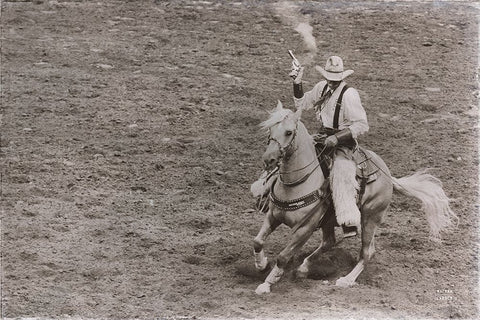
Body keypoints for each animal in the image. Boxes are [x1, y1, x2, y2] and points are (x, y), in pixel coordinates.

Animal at [253, 101, 456, 294]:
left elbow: (283, 257)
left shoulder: (304, 228)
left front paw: (266, 284)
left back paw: (346, 279)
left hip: (370, 218)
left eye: (288, 132)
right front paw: (261, 264)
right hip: (329, 221)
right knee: (329, 242)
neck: (297, 183)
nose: (269, 159)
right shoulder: (273, 216)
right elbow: (257, 241)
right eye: (270, 129)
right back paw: (304, 267)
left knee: (367, 252)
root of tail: (387, 175)